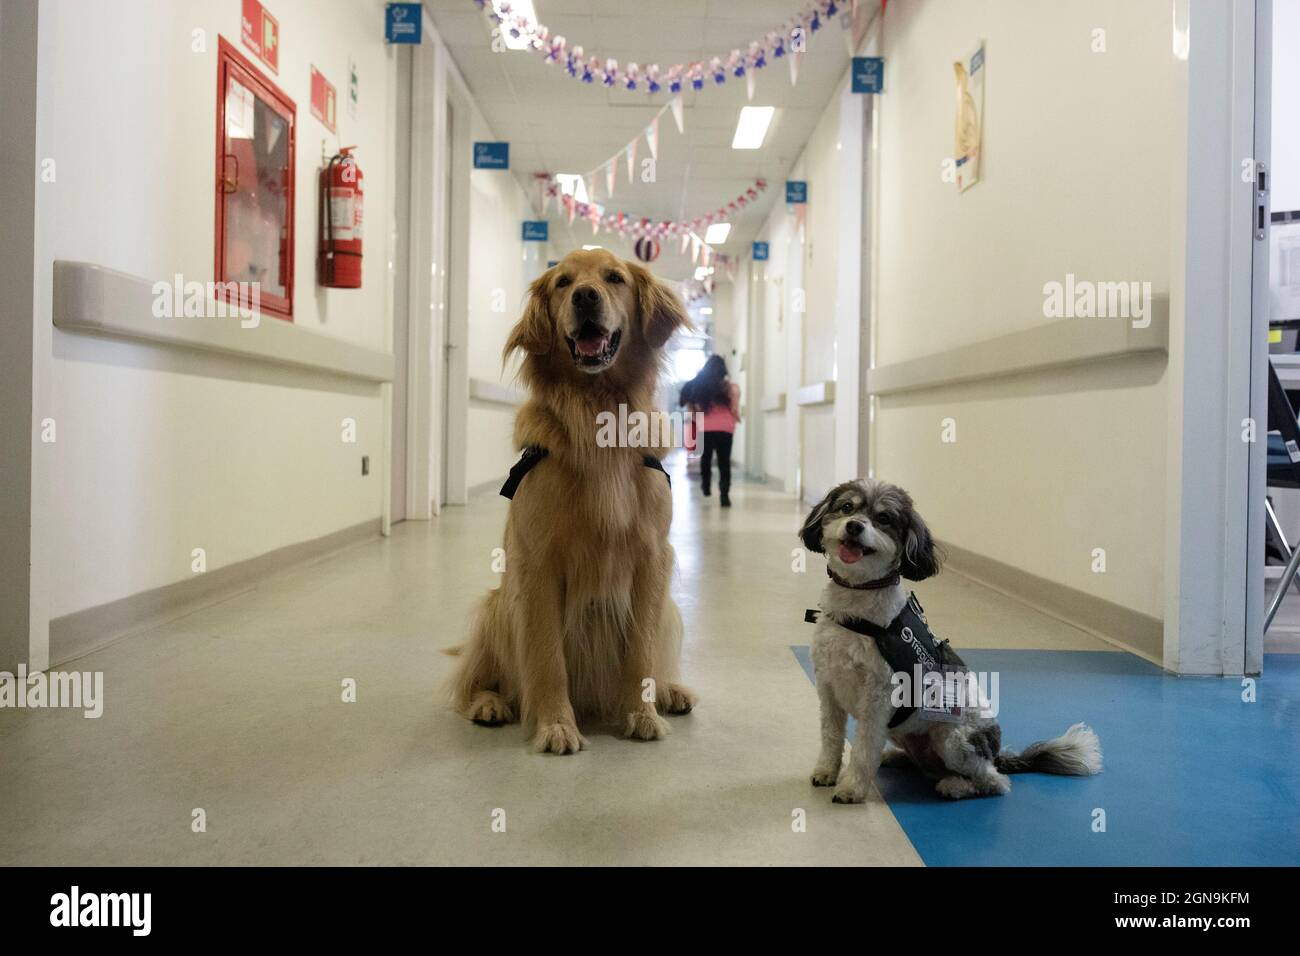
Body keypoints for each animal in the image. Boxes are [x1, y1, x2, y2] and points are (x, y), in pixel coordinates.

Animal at [800, 476, 1097, 801]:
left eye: (884, 518)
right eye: (846, 507)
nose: (854, 526)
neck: (857, 610)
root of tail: (996, 754)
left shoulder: (877, 701)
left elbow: (864, 749)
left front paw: (852, 788)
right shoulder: (828, 687)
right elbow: (831, 736)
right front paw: (826, 771)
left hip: (954, 739)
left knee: (994, 781)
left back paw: (956, 785)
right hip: (905, 732)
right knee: (928, 764)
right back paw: (899, 758)